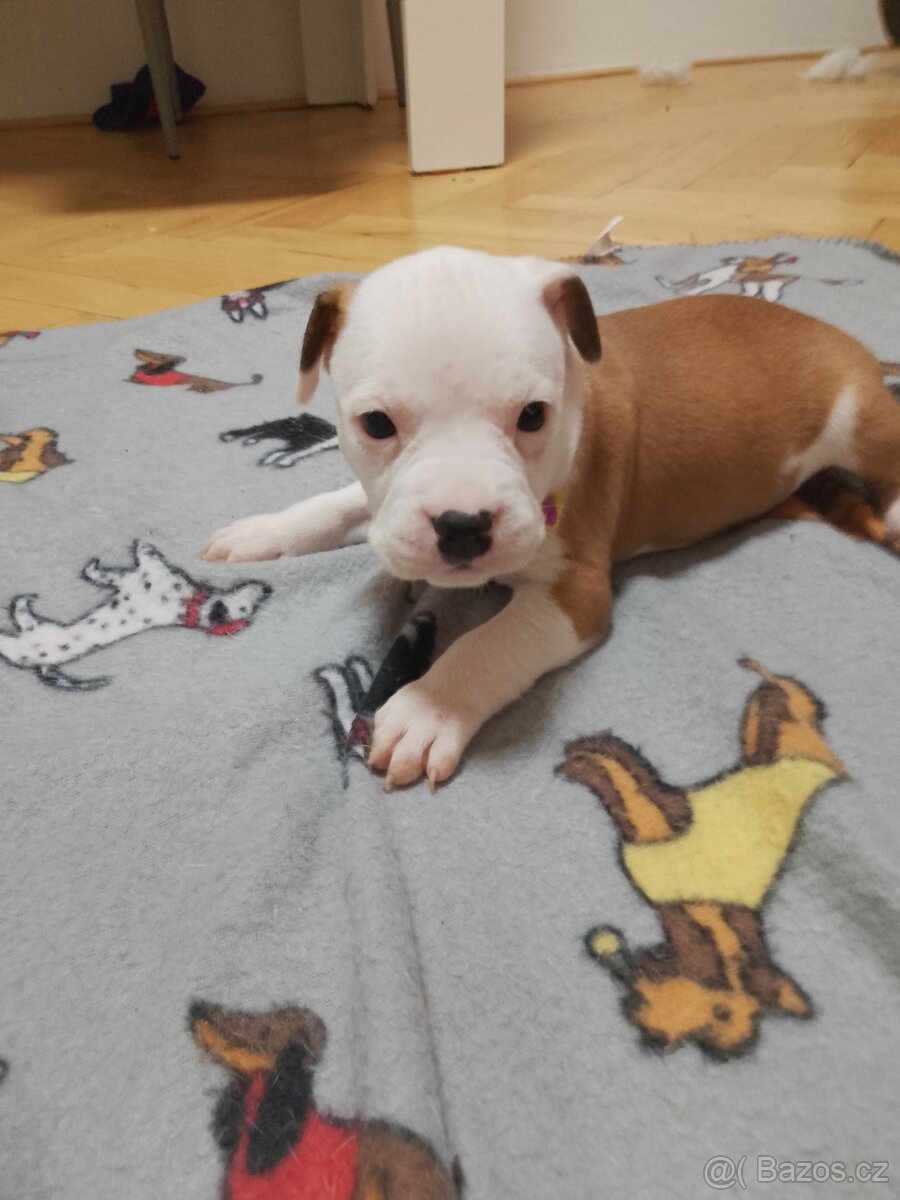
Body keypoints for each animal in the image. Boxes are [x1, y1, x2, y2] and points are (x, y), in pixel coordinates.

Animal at [201, 246, 900, 788]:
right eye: (376, 424)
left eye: (533, 415)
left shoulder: (575, 595)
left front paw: (426, 709)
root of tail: (840, 338)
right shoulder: (381, 505)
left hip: (857, 421)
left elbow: (486, 643)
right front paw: (263, 532)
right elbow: (343, 502)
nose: (462, 526)